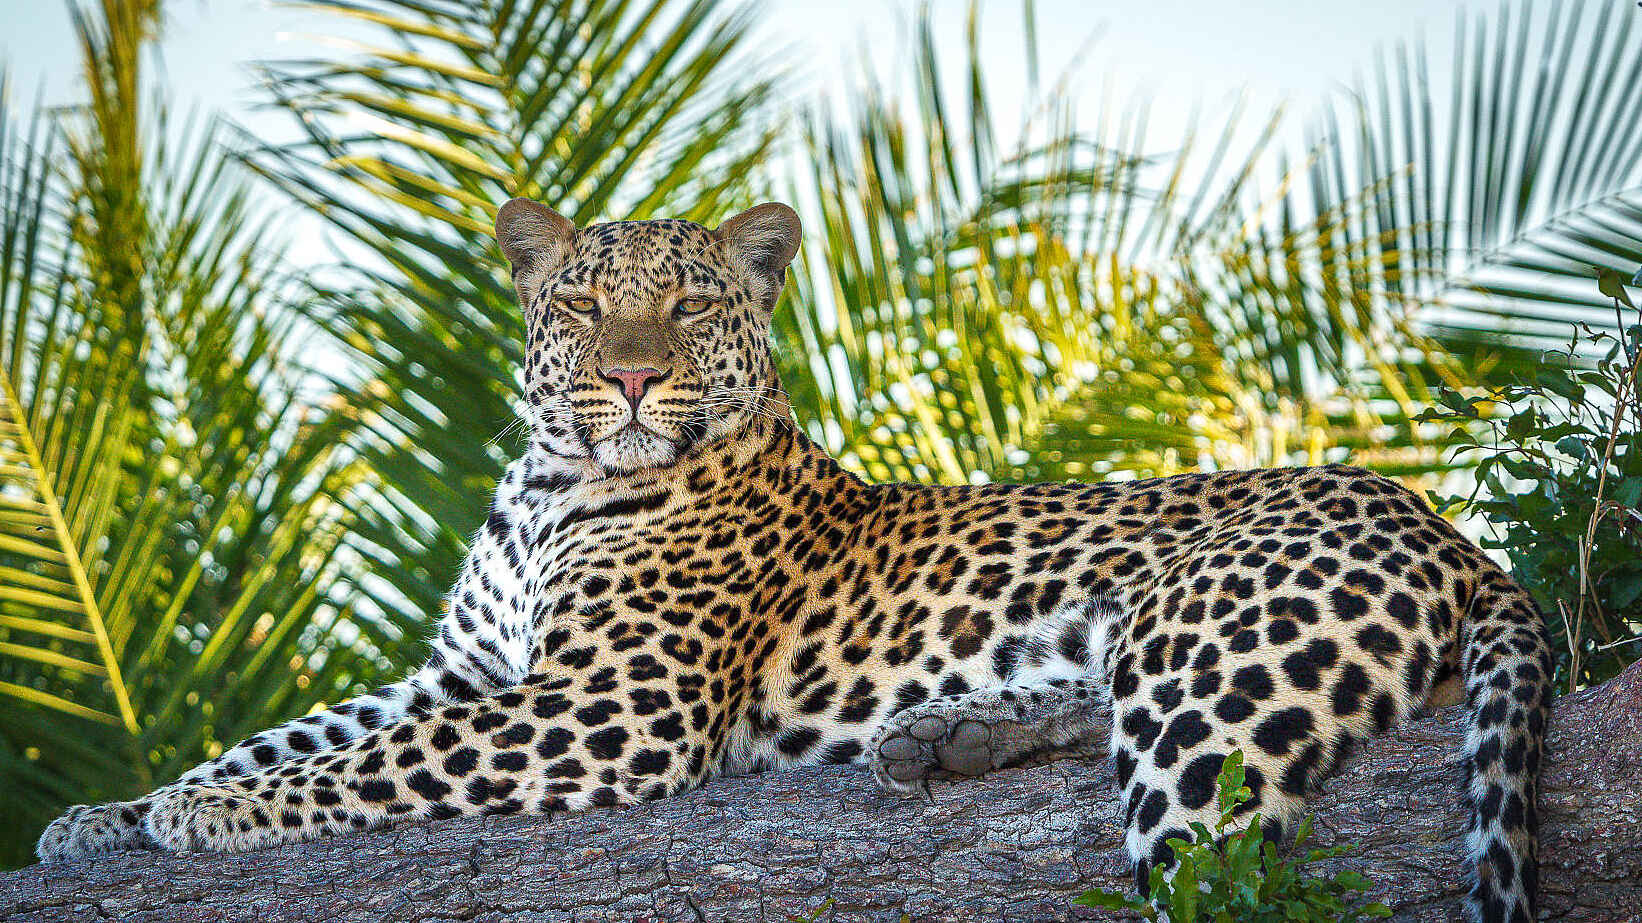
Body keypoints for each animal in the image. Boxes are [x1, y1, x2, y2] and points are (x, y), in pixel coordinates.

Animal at [37, 197, 1551, 923]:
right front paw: (105, 814)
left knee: (1210, 870)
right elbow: (304, 728)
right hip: (1150, 644)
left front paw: (210, 816)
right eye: (581, 302)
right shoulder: (459, 670)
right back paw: (936, 737)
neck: (550, 481)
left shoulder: (609, 708)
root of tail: (1444, 525)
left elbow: (365, 761)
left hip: (1209, 693)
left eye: (688, 303)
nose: (631, 375)